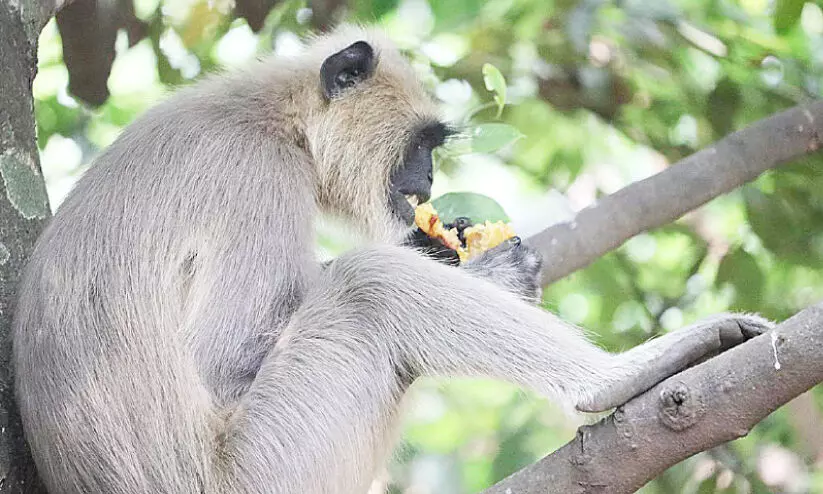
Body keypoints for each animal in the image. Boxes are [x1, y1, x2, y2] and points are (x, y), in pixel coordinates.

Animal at [12, 24, 772, 494]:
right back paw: (612, 379)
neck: (271, 116)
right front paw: (485, 271)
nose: (428, 181)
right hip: (265, 466)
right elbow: (225, 363)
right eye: (424, 145)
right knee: (365, 286)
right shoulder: (257, 176)